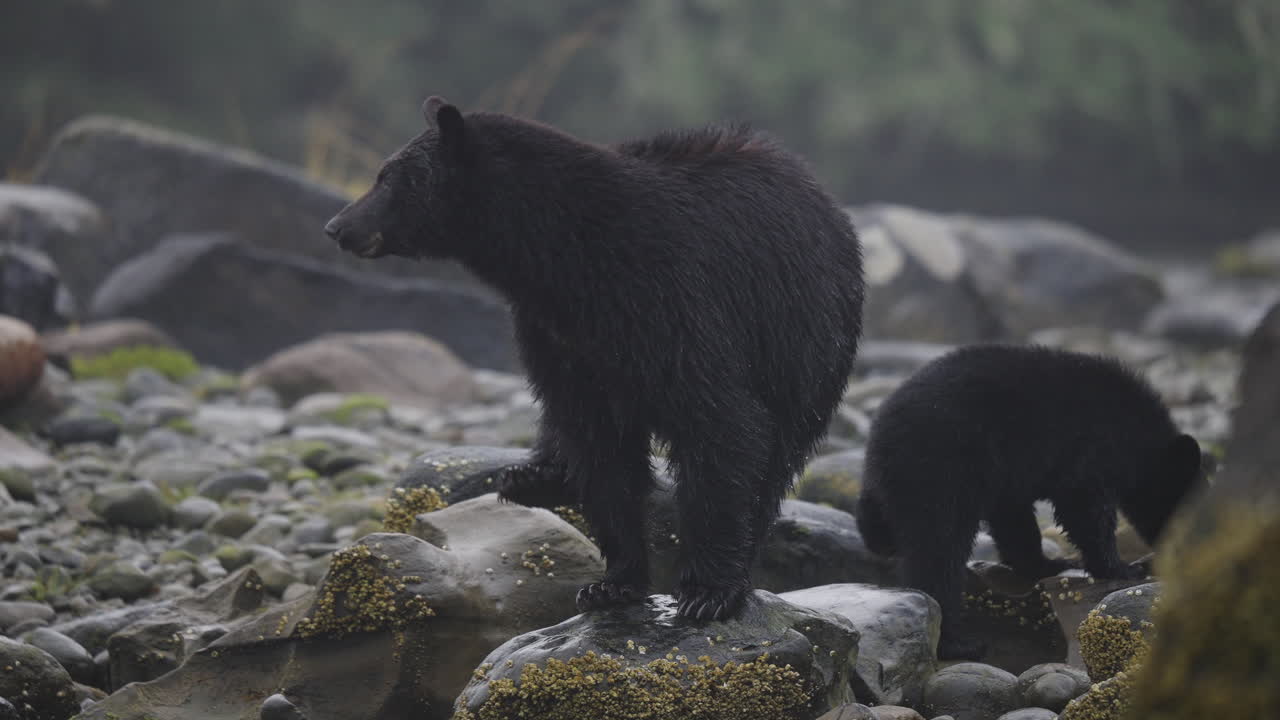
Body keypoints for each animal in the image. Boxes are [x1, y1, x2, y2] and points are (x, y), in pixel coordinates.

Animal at [323, 96, 865, 621]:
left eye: (391, 177)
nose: (337, 226)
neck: (566, 260)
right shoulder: (560, 335)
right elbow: (597, 442)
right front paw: (614, 582)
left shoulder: (675, 300)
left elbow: (722, 424)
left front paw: (708, 591)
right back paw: (534, 477)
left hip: (805, 340)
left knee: (780, 451)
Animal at [854, 342, 1210, 660]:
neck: (1141, 438)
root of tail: (879, 438)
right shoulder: (1091, 447)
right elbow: (1085, 508)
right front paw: (1122, 567)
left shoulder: (1008, 476)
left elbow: (1014, 519)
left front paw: (1050, 563)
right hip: (942, 467)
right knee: (939, 549)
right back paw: (956, 642)